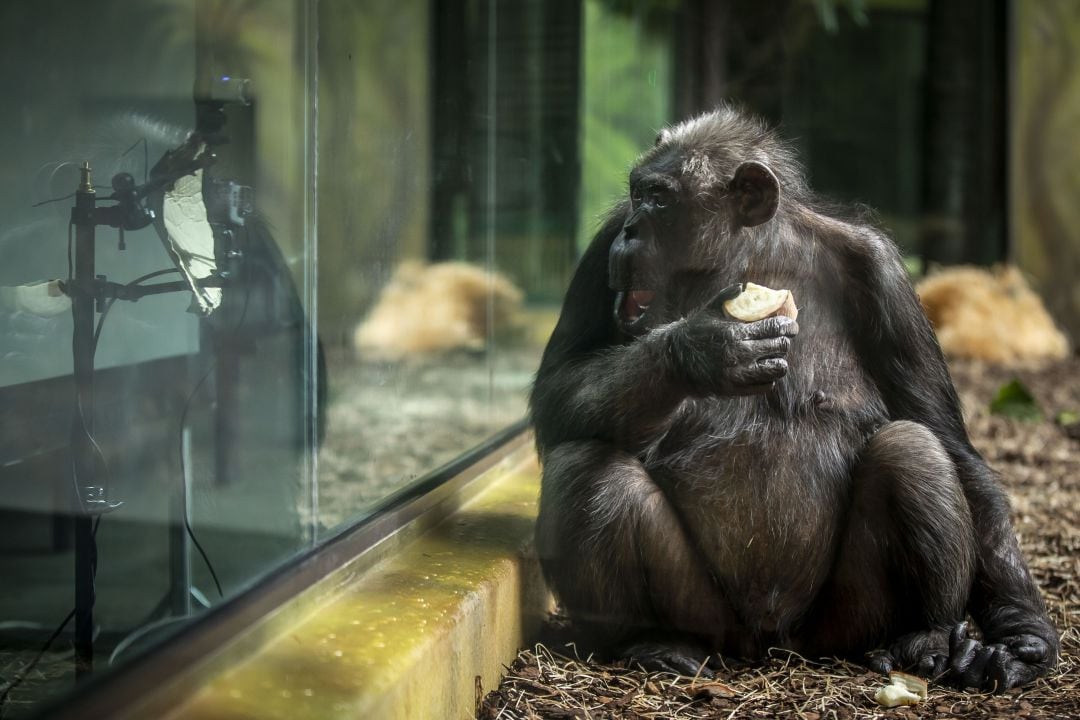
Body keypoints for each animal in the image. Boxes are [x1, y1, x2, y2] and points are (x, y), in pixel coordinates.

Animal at [529, 104, 1054, 690]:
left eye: (660, 199)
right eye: (636, 193)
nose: (631, 231)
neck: (745, 253)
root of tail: (771, 644)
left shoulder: (882, 275)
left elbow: (946, 438)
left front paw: (1022, 637)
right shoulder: (598, 252)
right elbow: (559, 385)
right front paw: (700, 349)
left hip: (843, 621)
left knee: (912, 450)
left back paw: (923, 637)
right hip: (708, 614)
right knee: (587, 467)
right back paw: (651, 641)